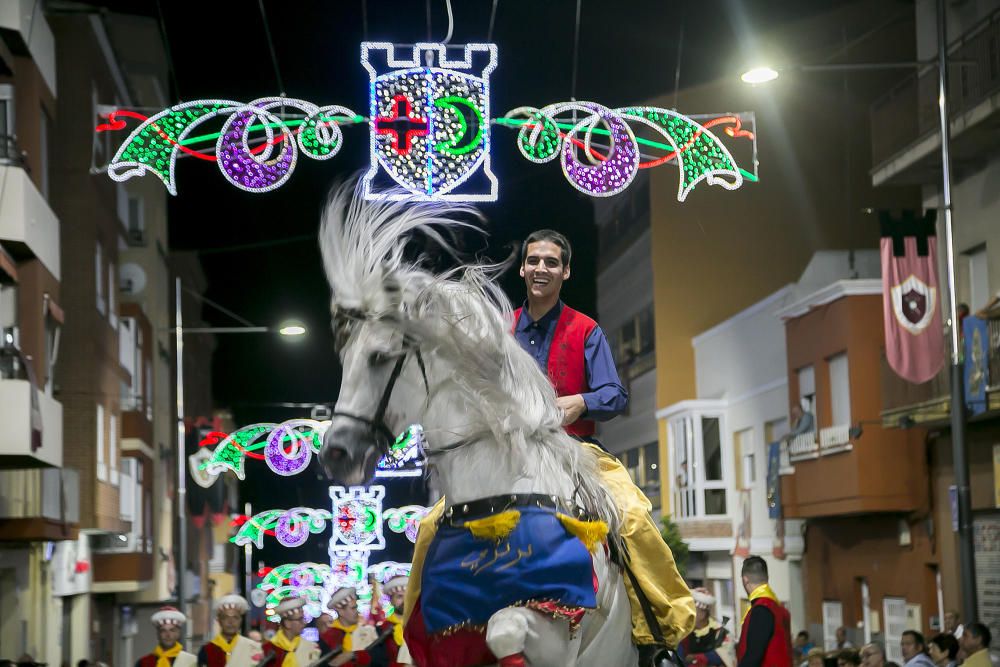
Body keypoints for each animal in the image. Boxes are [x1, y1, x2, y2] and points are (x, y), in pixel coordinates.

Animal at [316, 185, 636, 667]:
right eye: (345, 357)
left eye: (381, 357)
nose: (336, 454)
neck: (500, 500)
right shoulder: (445, 631)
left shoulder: (556, 619)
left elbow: (504, 629)